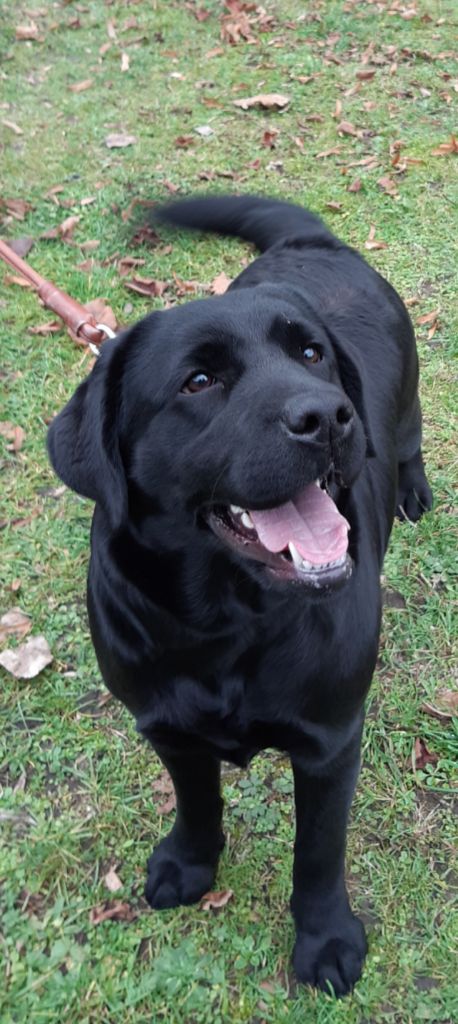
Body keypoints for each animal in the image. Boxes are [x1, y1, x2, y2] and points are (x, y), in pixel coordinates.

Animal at [48, 195, 432, 995]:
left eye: (311, 355)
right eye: (198, 383)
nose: (329, 417)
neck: (228, 622)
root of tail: (311, 239)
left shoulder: (330, 742)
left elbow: (318, 852)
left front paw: (325, 940)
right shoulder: (167, 727)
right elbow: (197, 802)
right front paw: (189, 864)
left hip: (408, 398)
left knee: (412, 439)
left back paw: (412, 485)